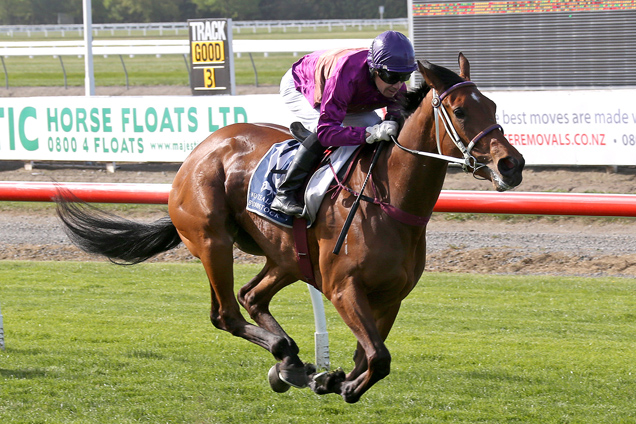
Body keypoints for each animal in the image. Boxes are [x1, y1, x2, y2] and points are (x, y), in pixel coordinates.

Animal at [56, 54, 520, 402]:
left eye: (494, 107)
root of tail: (199, 152)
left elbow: (369, 356)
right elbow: (379, 357)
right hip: (212, 241)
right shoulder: (342, 289)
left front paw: (333, 379)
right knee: (226, 313)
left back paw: (293, 363)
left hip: (286, 257)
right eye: (460, 111)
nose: (511, 165)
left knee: (251, 296)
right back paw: (286, 355)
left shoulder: (391, 297)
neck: (390, 201)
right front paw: (338, 383)